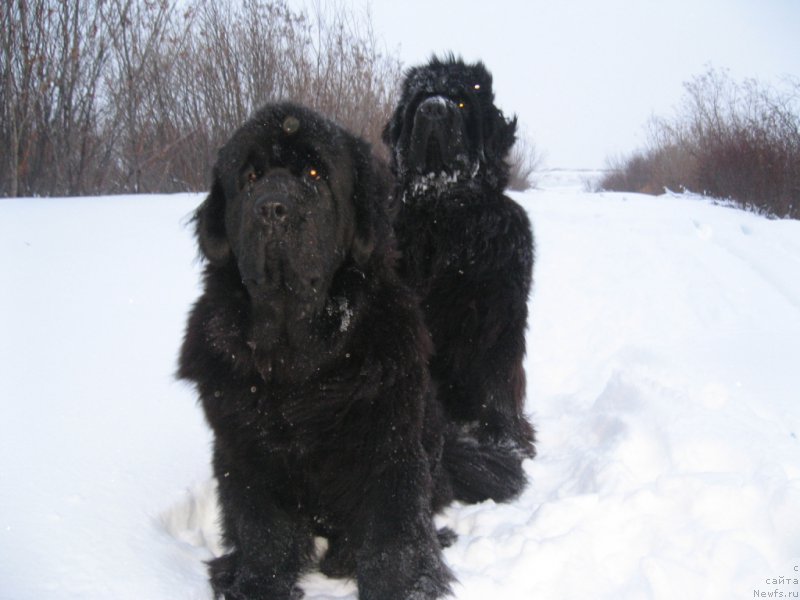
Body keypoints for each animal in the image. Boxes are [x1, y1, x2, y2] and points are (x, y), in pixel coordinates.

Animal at [181, 104, 456, 600]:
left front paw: (402, 586)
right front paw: (256, 585)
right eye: (250, 177)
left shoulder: (390, 446)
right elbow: (263, 534)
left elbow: (393, 537)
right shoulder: (243, 451)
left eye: (314, 173)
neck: (297, 359)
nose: (273, 208)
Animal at [382, 56, 536, 502]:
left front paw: (508, 444)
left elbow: (498, 384)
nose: (433, 109)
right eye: (420, 97)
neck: (444, 215)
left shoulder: (499, 317)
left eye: (463, 101)